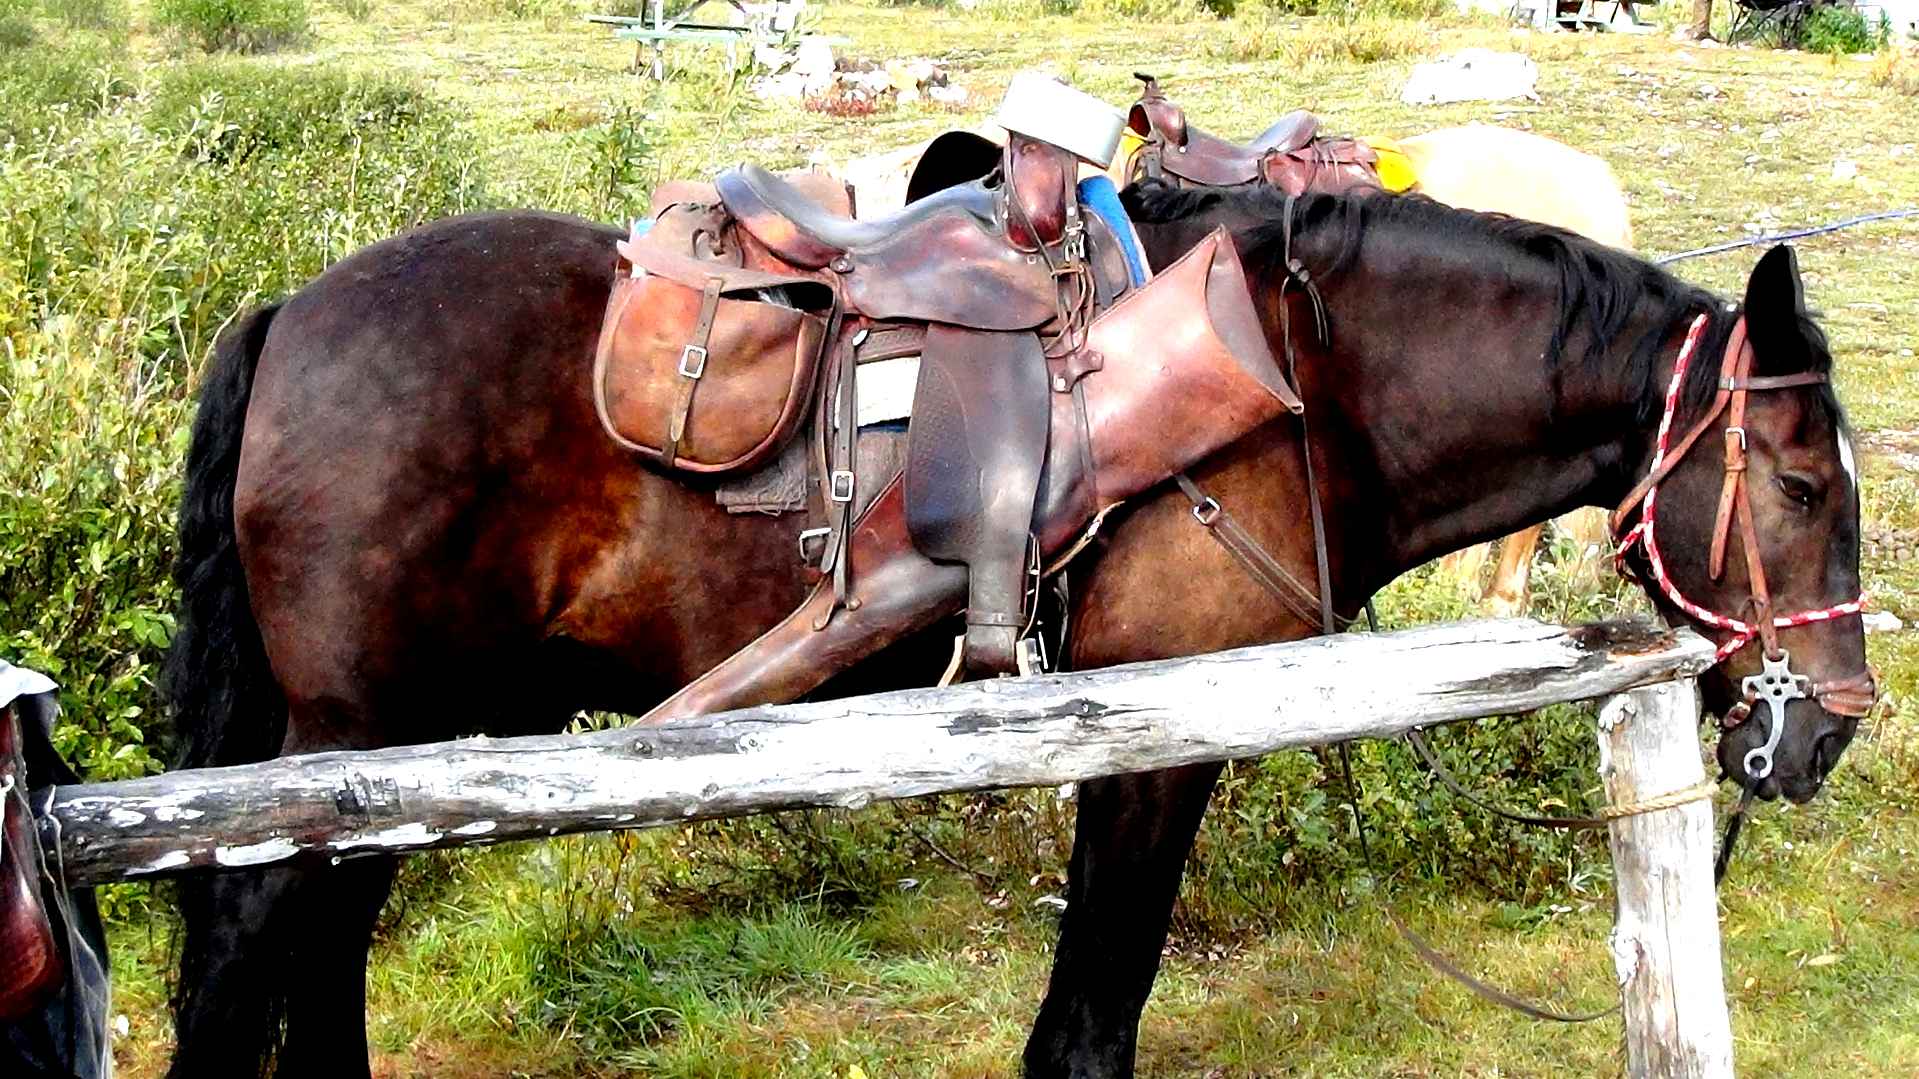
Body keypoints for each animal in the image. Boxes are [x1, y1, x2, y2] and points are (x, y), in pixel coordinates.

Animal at [157, 180, 1865, 1067]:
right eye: (1793, 479)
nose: (1824, 727)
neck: (1301, 384)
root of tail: (293, 313)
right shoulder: (1156, 741)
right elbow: (1097, 1002)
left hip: (434, 740)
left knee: (322, 955)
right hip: (347, 742)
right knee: (248, 954)